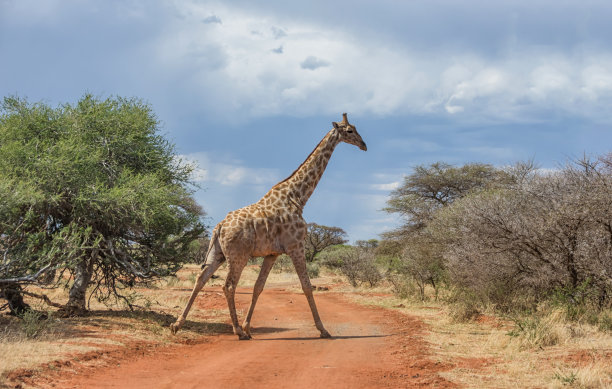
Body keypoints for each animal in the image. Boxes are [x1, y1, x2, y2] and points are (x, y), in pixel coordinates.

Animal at [170, 113, 366, 340]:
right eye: (350, 130)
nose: (364, 145)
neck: (298, 197)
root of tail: (219, 227)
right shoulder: (296, 246)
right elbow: (306, 286)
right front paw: (323, 329)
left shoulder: (272, 253)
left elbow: (258, 287)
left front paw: (248, 326)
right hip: (238, 255)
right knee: (228, 285)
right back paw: (237, 331)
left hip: (217, 253)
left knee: (201, 278)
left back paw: (177, 324)